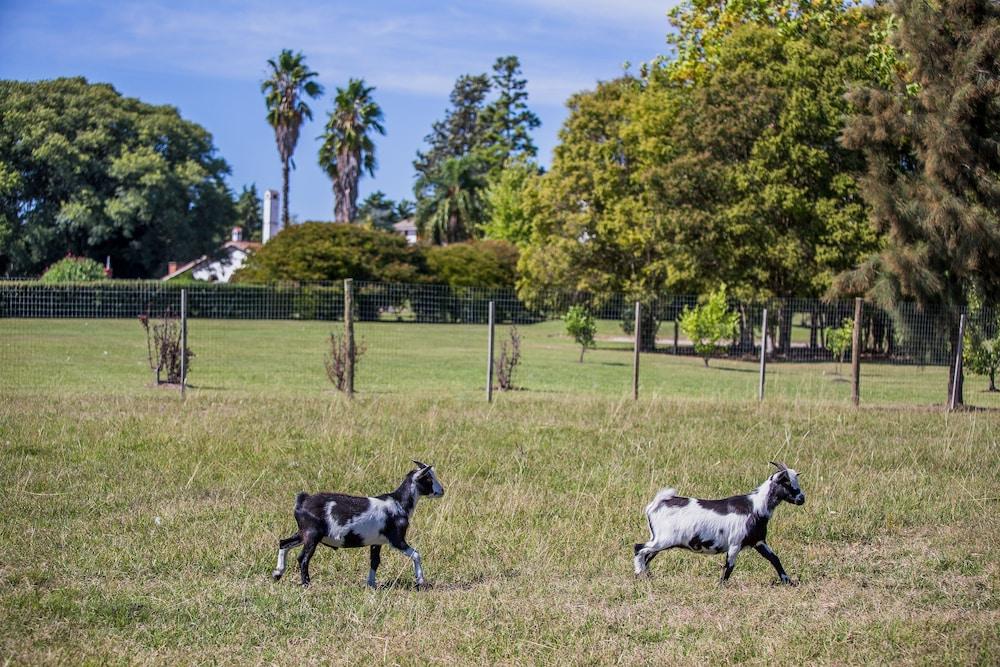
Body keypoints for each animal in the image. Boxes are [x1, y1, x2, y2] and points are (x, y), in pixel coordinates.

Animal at [274, 460, 446, 588]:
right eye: (428, 478)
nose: (442, 491)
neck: (399, 503)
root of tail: (302, 501)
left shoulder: (377, 542)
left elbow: (375, 562)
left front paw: (371, 584)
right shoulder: (396, 539)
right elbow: (416, 554)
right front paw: (420, 581)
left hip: (304, 532)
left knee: (284, 543)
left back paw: (277, 573)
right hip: (312, 534)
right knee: (303, 557)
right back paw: (306, 584)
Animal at [636, 462, 808, 588]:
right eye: (786, 482)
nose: (801, 498)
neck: (755, 506)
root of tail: (655, 504)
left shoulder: (758, 541)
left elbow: (774, 559)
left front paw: (788, 581)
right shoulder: (735, 543)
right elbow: (729, 566)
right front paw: (720, 587)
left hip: (660, 540)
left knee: (647, 555)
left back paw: (648, 577)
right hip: (663, 539)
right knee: (639, 548)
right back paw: (639, 574)